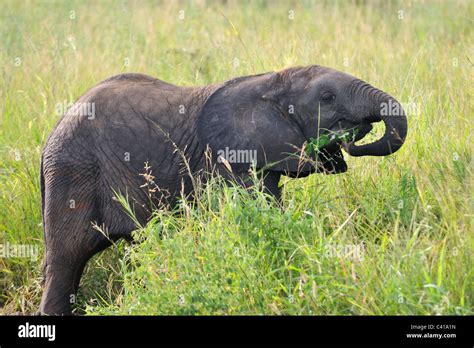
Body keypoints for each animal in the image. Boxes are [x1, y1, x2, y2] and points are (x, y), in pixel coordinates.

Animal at [38, 65, 408, 316]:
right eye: (327, 98)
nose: (351, 139)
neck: (271, 82)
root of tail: (51, 136)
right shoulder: (228, 162)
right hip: (73, 171)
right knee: (67, 258)